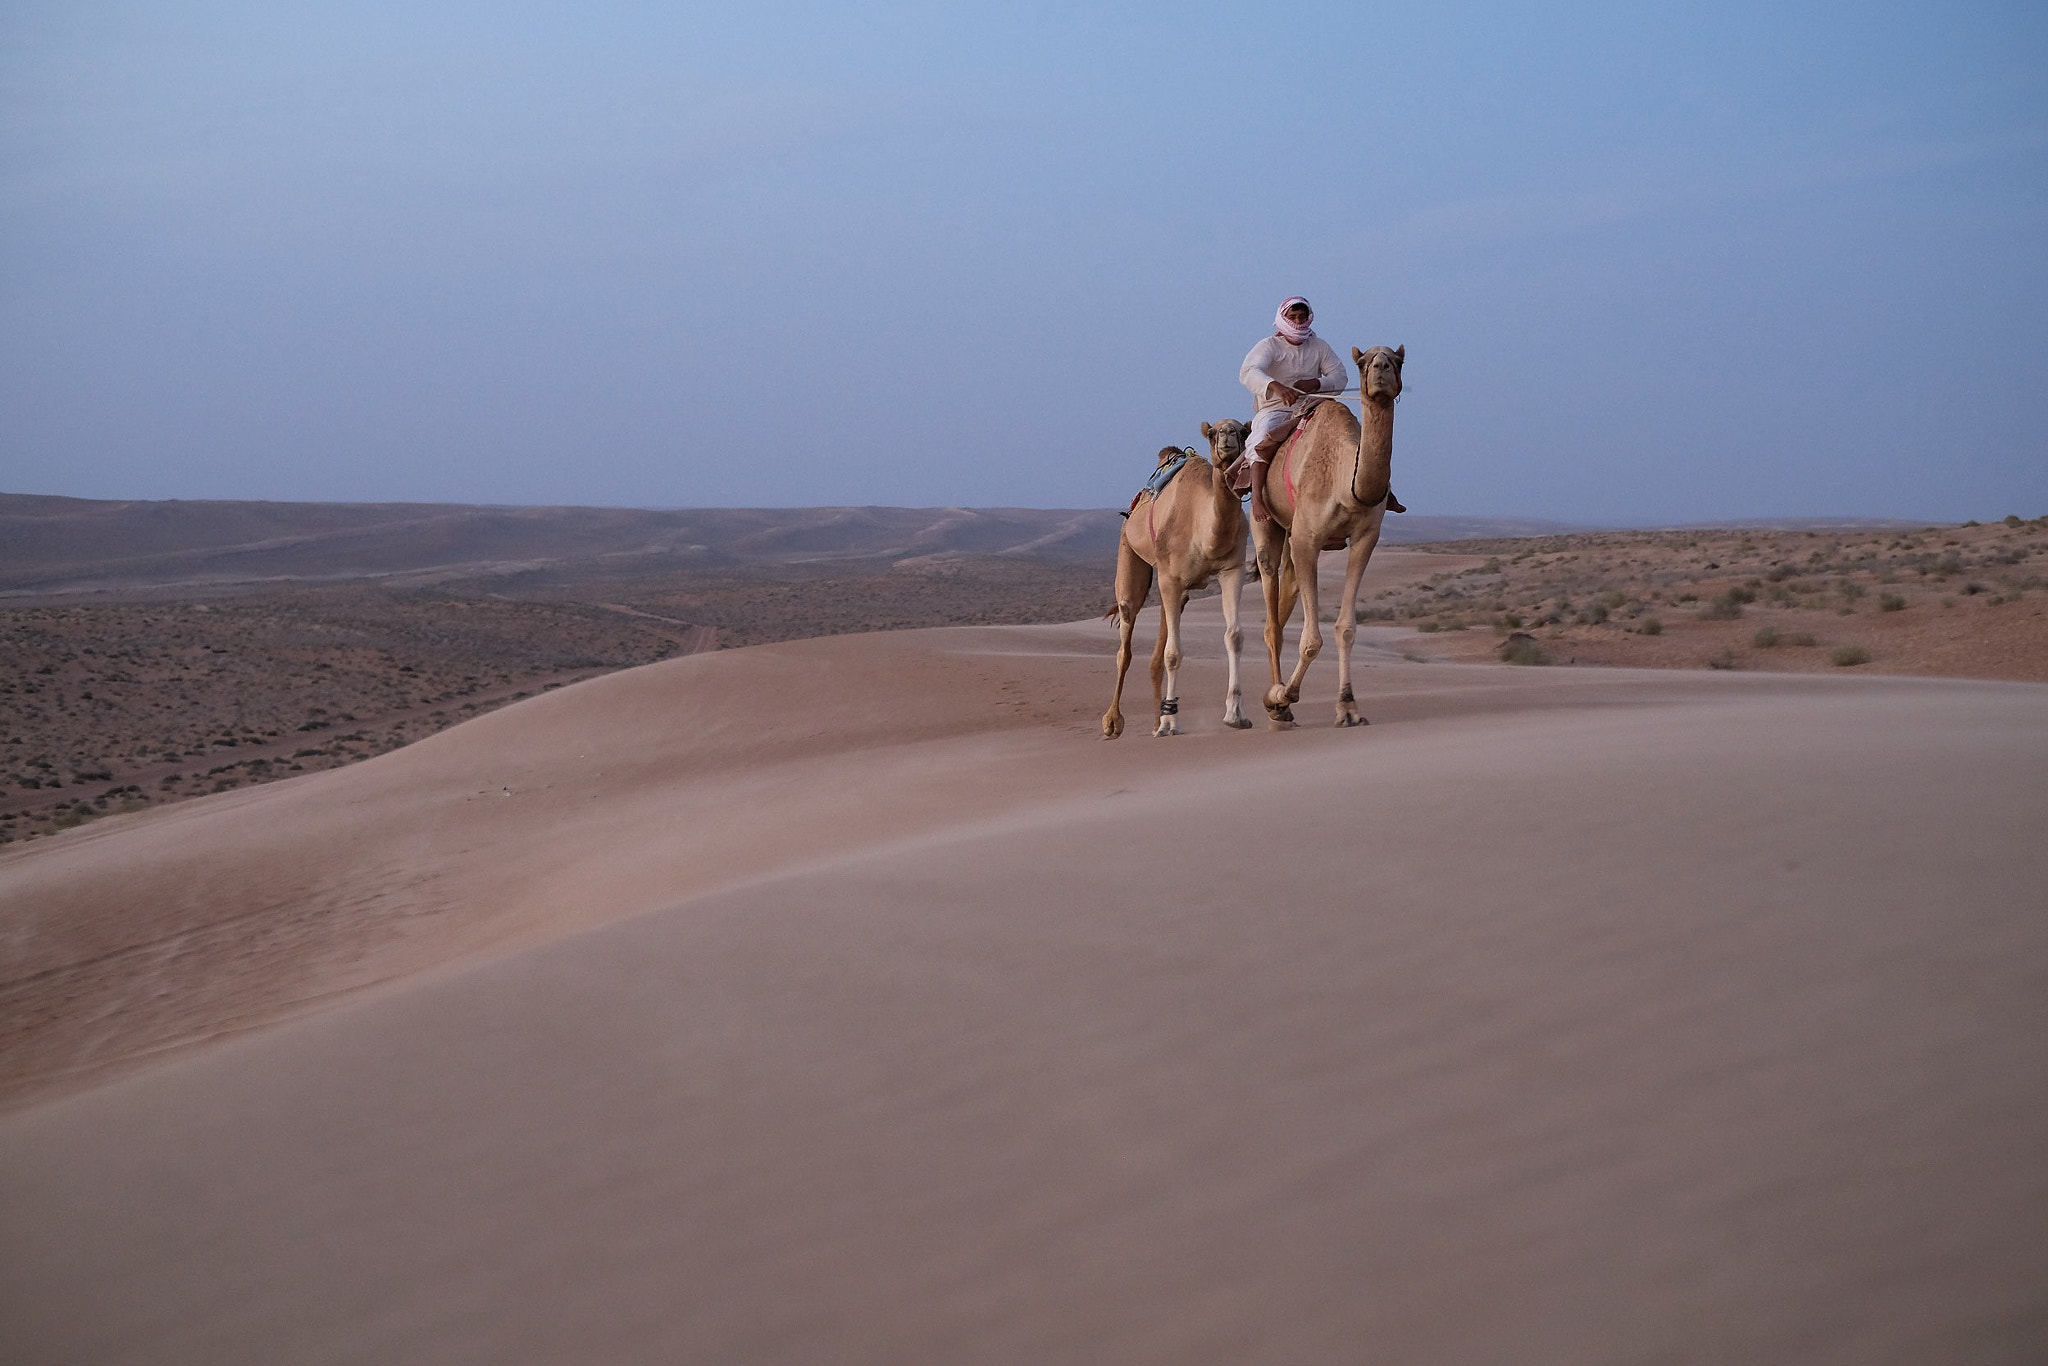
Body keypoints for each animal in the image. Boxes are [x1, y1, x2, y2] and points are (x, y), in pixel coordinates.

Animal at [1097, 419, 1253, 737]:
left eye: (1243, 431)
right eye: (1212, 433)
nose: (1227, 437)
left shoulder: (1232, 570)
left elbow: (1234, 636)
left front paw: (1235, 713)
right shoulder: (1170, 577)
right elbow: (1173, 653)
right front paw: (1171, 721)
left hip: (1176, 592)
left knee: (1157, 651)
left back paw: (1156, 721)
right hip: (1130, 553)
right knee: (1126, 639)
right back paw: (1114, 721)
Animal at [1245, 344, 1409, 724]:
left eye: (1397, 360)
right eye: (1363, 362)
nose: (1381, 368)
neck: (1345, 482)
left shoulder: (1365, 538)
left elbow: (1346, 629)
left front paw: (1348, 706)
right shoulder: (1308, 539)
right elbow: (1311, 639)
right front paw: (1285, 695)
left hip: (1292, 539)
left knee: (1284, 600)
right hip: (1267, 526)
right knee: (1271, 616)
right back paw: (1274, 698)